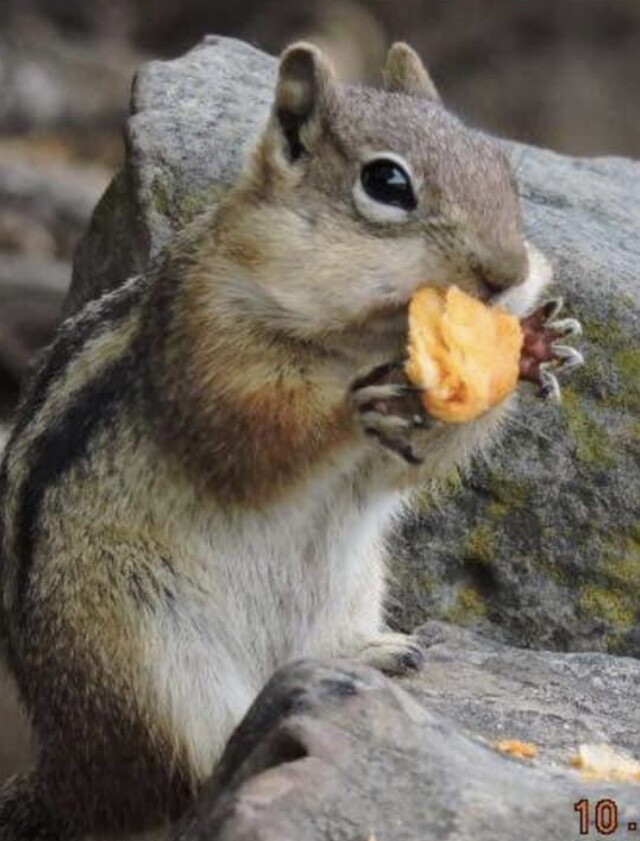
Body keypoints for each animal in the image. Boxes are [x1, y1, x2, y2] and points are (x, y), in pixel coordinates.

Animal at [0, 41, 559, 840]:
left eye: (504, 170)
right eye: (387, 183)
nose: (509, 273)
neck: (367, 337)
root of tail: (70, 776)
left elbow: (417, 463)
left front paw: (536, 346)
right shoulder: (207, 339)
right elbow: (253, 433)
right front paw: (351, 406)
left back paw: (371, 655)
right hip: (147, 660)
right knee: (187, 776)